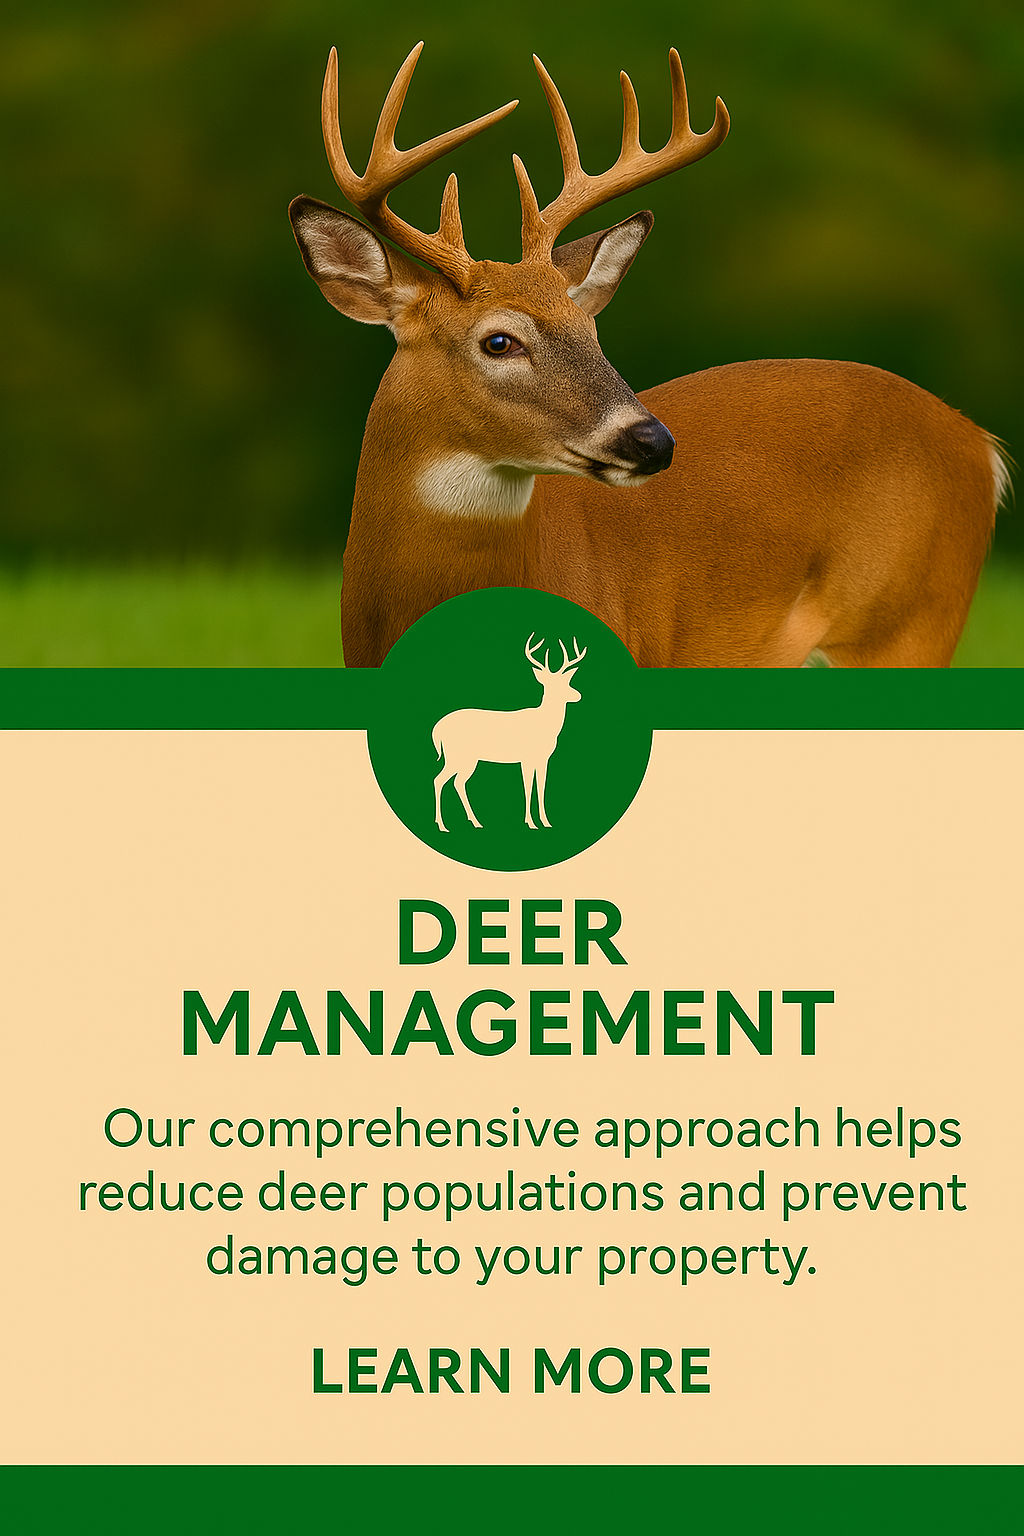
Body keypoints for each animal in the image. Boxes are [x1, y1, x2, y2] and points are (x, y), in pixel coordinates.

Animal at [433, 635, 586, 832]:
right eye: (552, 685)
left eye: (566, 682)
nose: (578, 695)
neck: (545, 726)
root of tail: (436, 730)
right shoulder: (527, 757)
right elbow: (528, 787)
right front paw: (531, 823)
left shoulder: (543, 758)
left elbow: (540, 786)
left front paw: (545, 822)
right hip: (457, 756)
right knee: (440, 780)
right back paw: (443, 825)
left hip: (467, 760)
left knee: (457, 782)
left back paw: (475, 821)